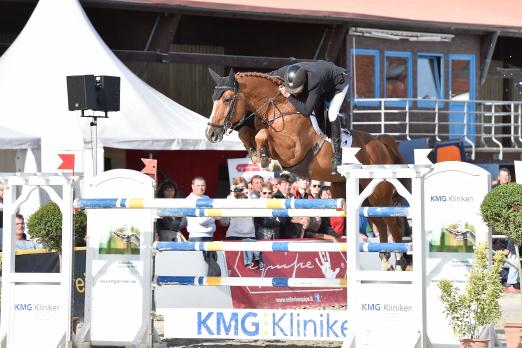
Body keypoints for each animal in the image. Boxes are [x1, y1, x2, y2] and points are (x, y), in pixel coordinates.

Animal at [205, 69, 408, 270]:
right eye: (213, 99)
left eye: (227, 99)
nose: (211, 134)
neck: (279, 109)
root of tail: (381, 144)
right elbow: (247, 132)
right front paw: (257, 155)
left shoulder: (292, 151)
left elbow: (262, 134)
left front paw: (265, 160)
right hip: (362, 195)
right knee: (379, 222)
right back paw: (385, 260)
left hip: (380, 194)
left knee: (394, 224)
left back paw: (401, 261)